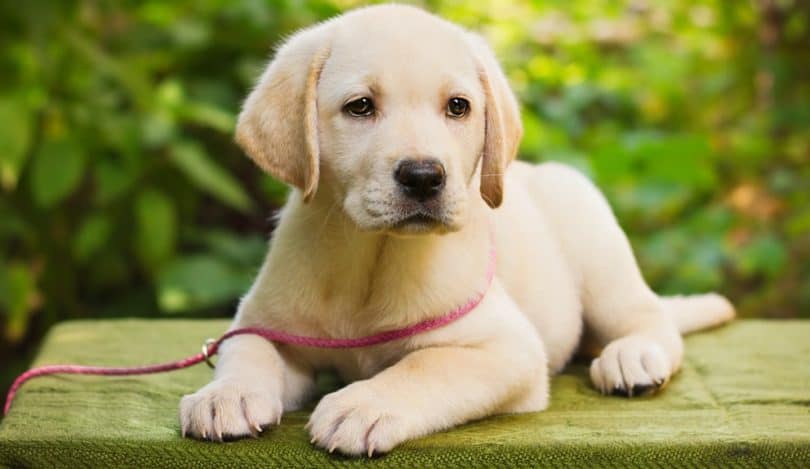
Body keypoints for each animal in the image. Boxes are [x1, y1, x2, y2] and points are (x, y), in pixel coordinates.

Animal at [178, 3, 732, 456]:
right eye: (360, 106)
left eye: (458, 106)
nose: (424, 176)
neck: (373, 257)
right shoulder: (265, 321)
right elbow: (245, 349)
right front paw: (225, 395)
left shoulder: (506, 349)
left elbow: (425, 366)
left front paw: (363, 404)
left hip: (595, 245)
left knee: (649, 317)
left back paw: (632, 357)